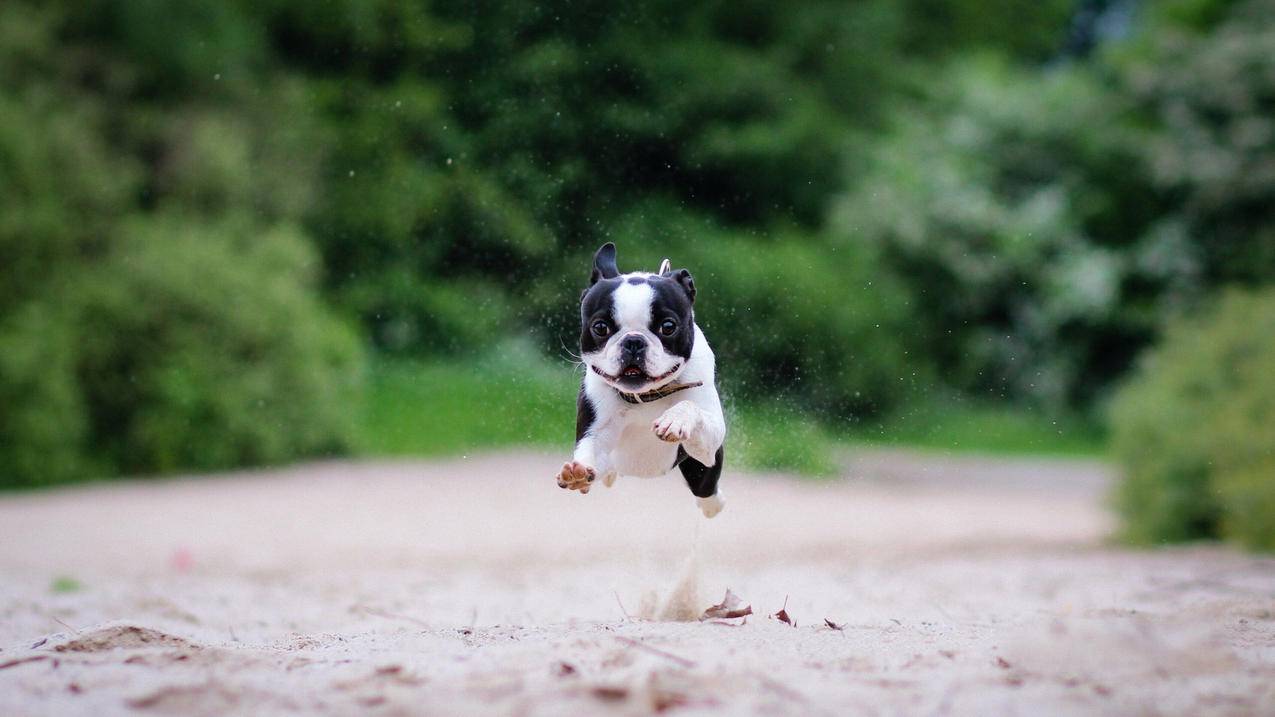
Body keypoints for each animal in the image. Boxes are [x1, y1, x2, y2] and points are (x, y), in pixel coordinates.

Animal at [558, 242, 729, 515]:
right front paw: (578, 473)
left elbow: (691, 407)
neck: (646, 395)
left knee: (707, 494)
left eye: (668, 327)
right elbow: (590, 452)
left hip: (702, 470)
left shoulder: (711, 438)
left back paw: (714, 504)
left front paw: (675, 419)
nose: (634, 341)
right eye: (600, 327)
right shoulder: (595, 434)